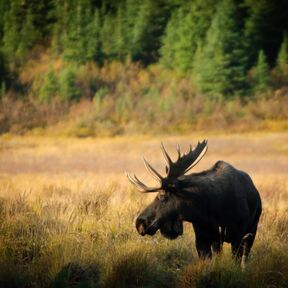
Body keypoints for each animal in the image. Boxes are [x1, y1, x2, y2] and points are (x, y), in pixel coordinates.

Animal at [126, 141, 260, 268]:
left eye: (163, 195)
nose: (139, 222)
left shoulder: (238, 235)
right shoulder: (202, 238)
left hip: (252, 230)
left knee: (245, 257)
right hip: (219, 240)